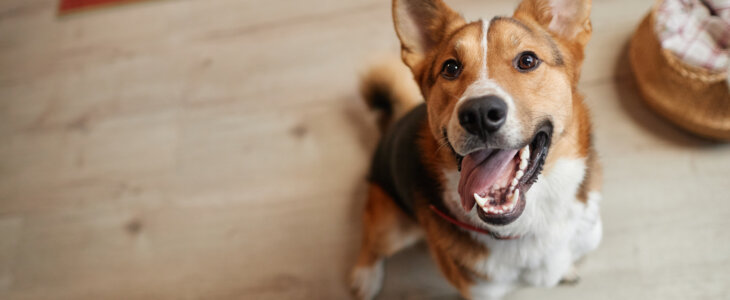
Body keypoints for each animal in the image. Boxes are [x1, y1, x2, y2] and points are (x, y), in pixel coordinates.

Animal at [350, 0, 600, 300]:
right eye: (450, 67)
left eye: (527, 61)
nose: (479, 113)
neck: (529, 225)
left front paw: (566, 270)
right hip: (393, 225)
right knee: (370, 239)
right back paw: (365, 276)